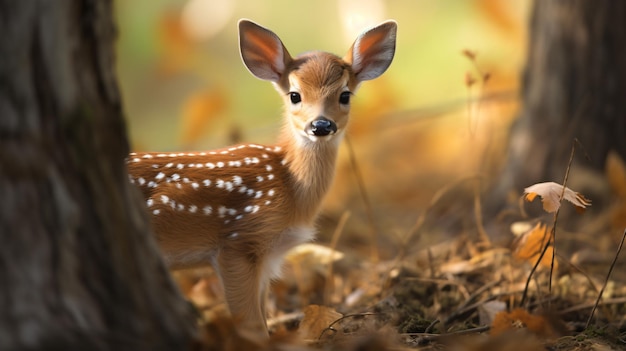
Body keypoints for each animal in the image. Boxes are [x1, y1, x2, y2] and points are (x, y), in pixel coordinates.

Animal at [127, 20, 394, 338]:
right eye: (294, 95)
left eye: (345, 95)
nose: (320, 125)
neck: (290, 187)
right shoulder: (239, 241)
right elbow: (251, 325)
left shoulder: (268, 255)